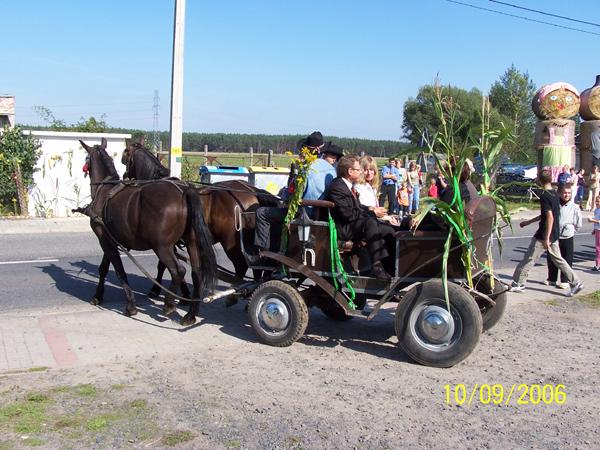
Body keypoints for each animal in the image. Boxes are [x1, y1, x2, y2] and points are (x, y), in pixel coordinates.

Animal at [81, 137, 217, 324]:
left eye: (125, 158)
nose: (127, 176)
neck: (104, 189)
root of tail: (184, 192)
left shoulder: (104, 240)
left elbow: (118, 270)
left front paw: (130, 305)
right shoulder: (110, 239)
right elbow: (104, 267)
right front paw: (98, 295)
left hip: (162, 247)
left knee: (178, 270)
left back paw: (169, 304)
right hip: (191, 242)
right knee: (196, 272)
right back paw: (190, 313)